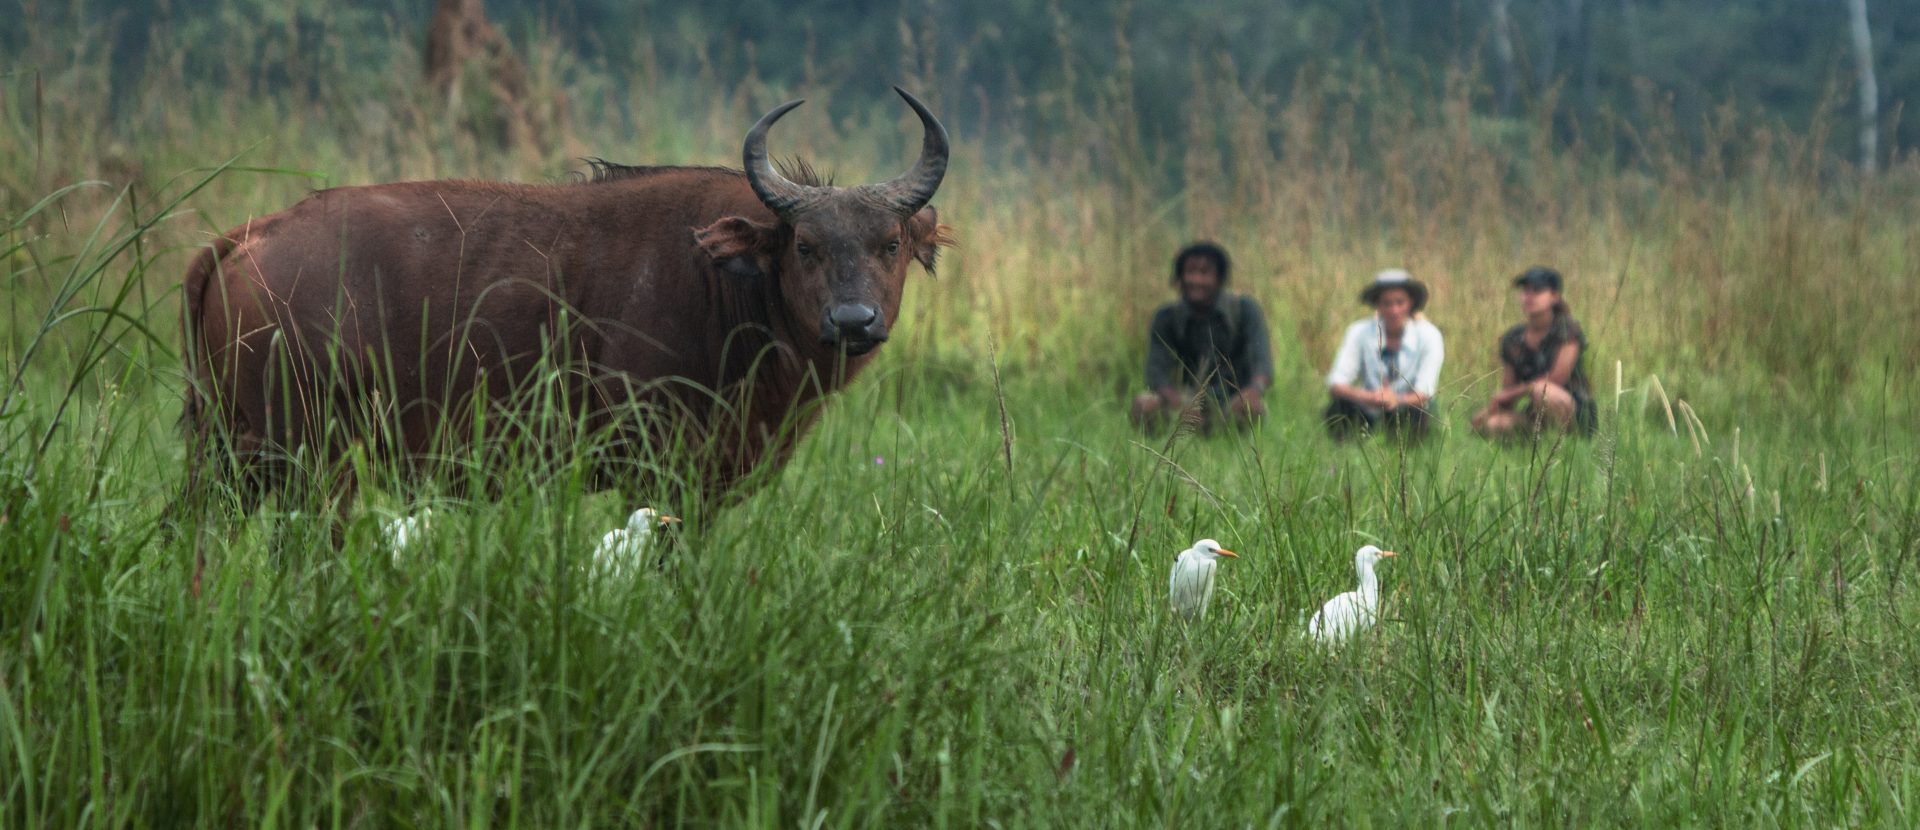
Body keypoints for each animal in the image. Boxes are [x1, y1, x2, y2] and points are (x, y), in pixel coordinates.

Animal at [180, 87, 952, 526]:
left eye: (889, 243)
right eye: (806, 246)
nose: (852, 322)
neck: (728, 289)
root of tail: (247, 236)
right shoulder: (664, 475)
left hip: (229, 453)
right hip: (310, 459)